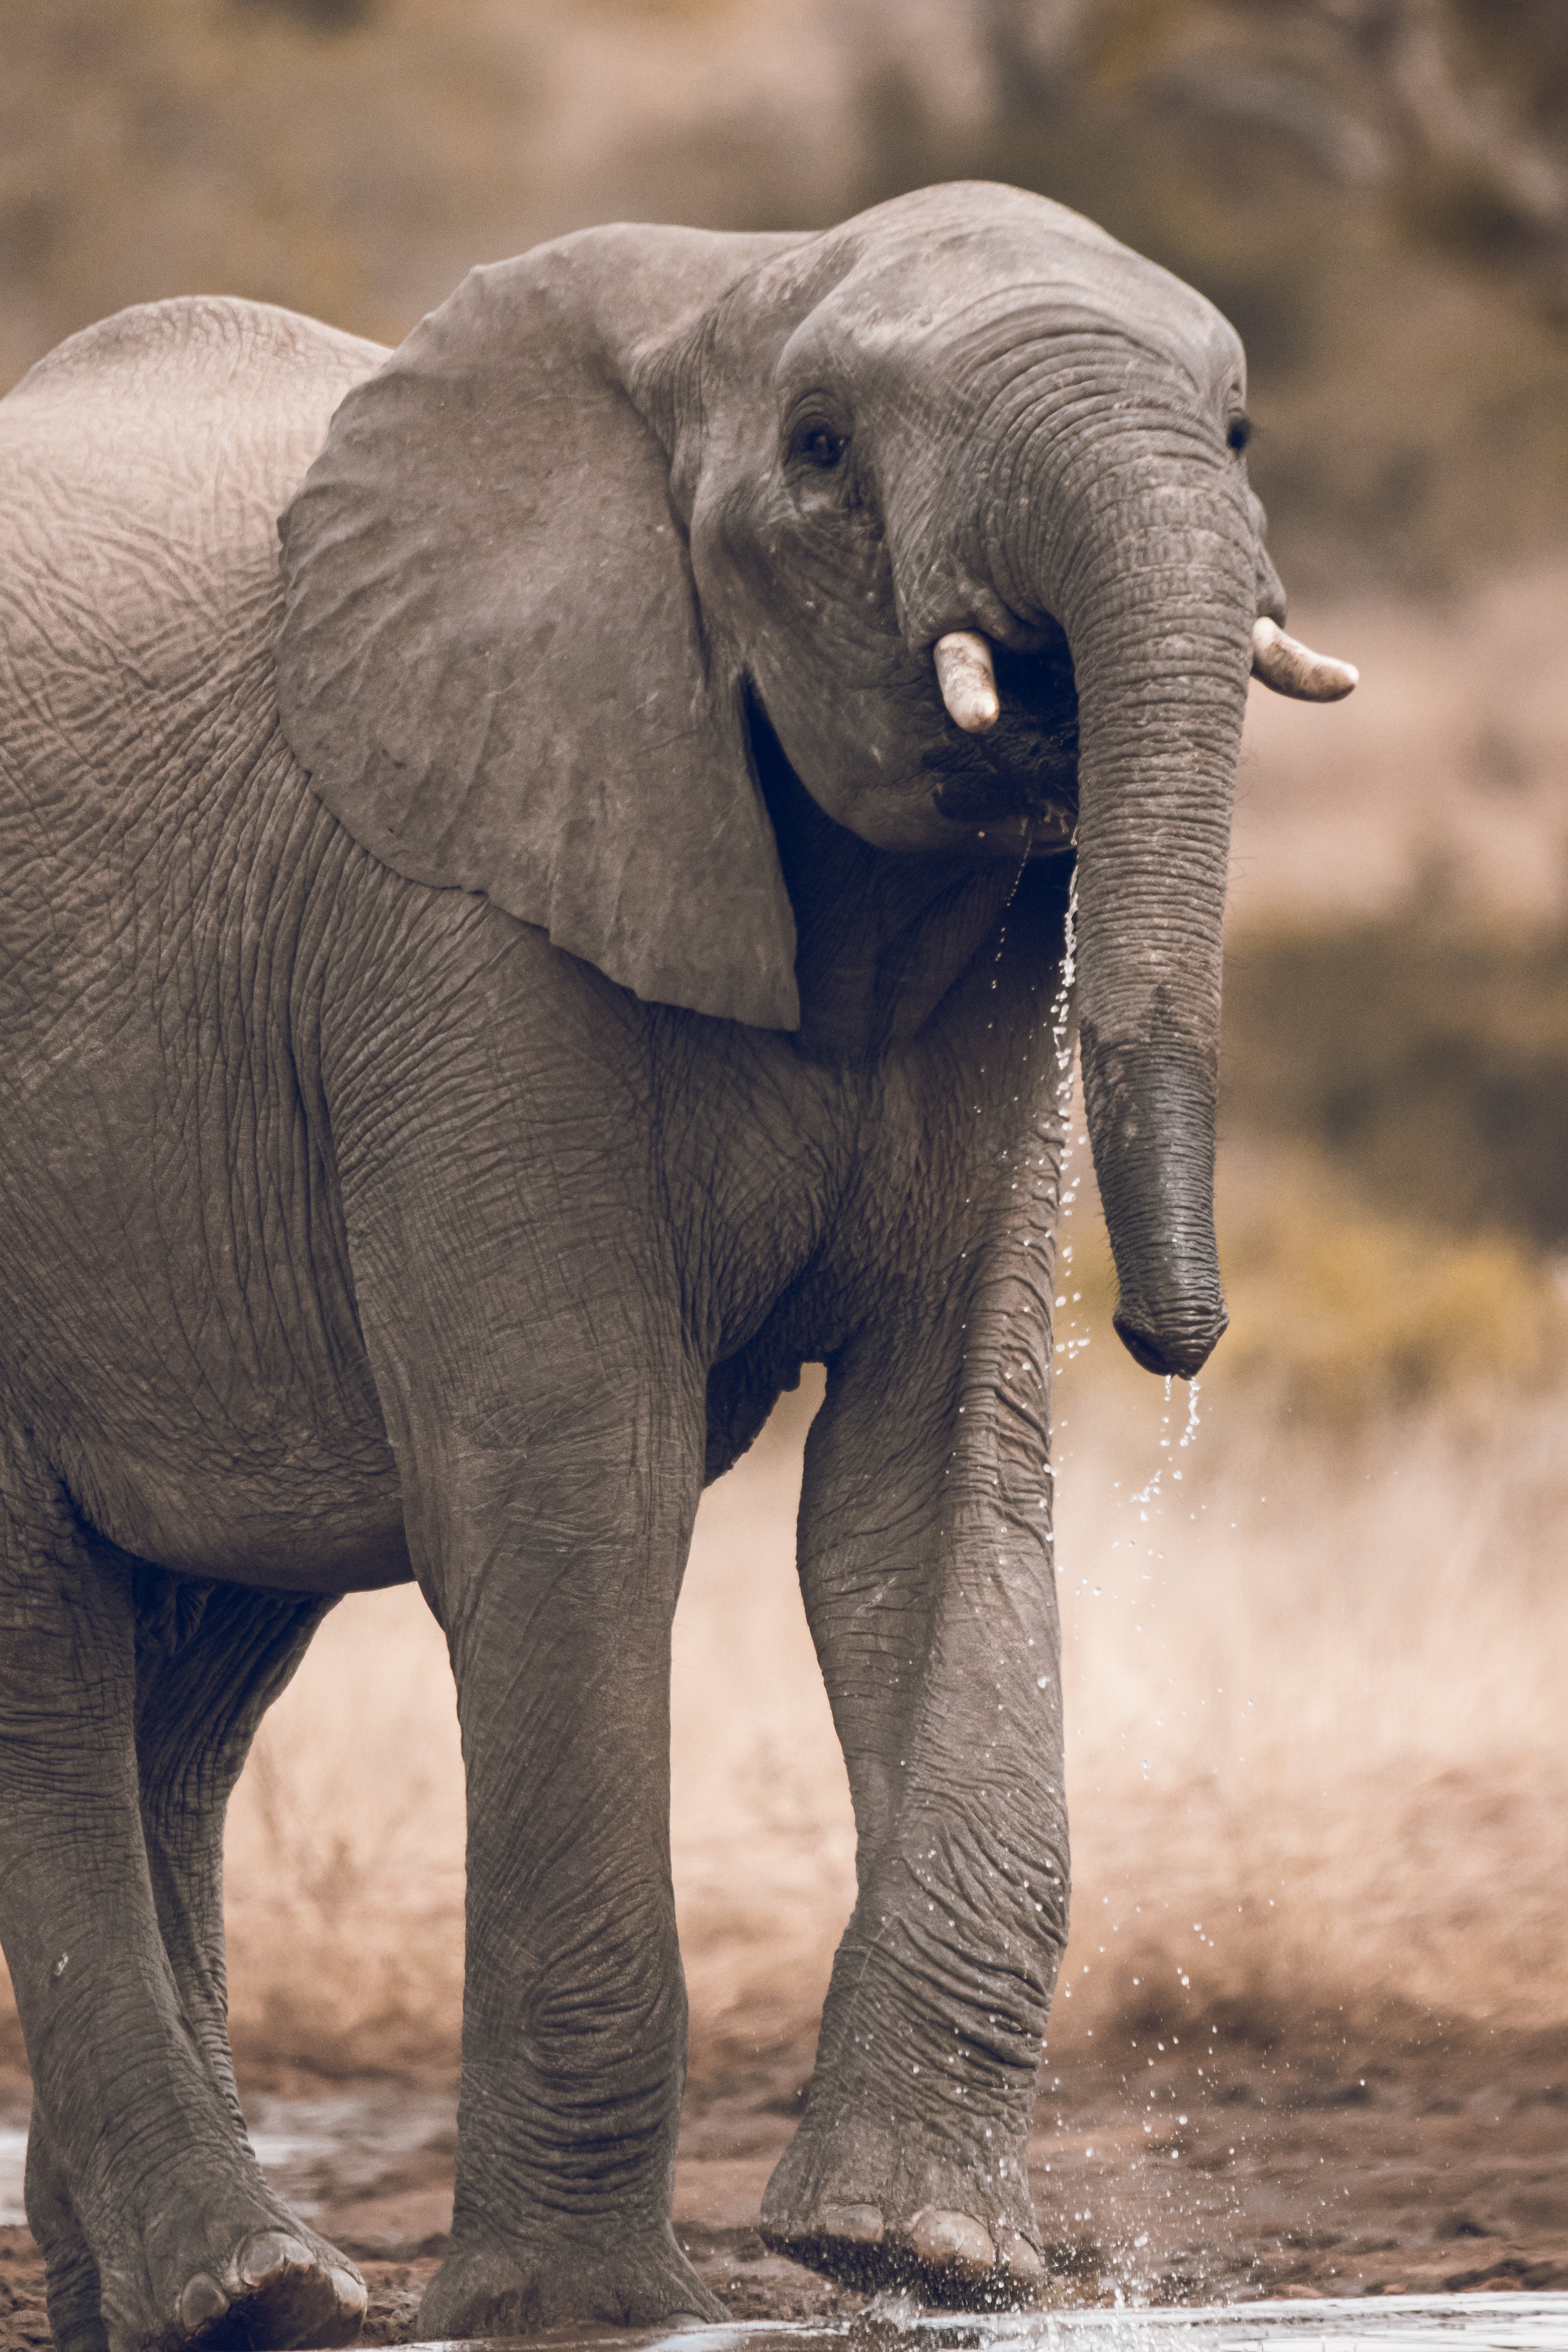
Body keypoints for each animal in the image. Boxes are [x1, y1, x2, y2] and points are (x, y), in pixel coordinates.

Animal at [0, 180, 1354, 2350]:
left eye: (1235, 435)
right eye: (818, 450)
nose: (1174, 1336)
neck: (733, 279)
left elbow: (930, 1476)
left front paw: (915, 2253)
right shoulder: (455, 917)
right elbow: (579, 1489)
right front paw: (572, 2302)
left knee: (188, 1682)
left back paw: (177, 2301)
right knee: (48, 1654)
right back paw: (246, 2290)